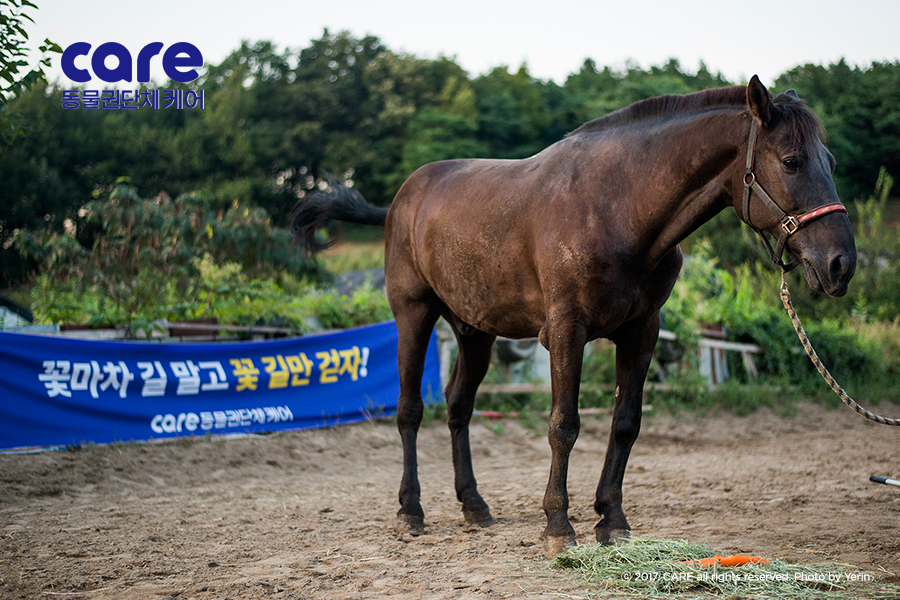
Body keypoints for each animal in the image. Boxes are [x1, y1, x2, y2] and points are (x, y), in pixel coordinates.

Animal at [292, 76, 856, 552]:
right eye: (791, 161)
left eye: (830, 161)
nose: (841, 263)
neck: (618, 207)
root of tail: (400, 202)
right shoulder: (566, 331)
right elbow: (563, 425)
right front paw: (558, 525)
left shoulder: (642, 332)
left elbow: (625, 423)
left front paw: (612, 518)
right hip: (414, 314)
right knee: (410, 410)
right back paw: (411, 511)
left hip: (475, 331)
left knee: (458, 407)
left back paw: (474, 505)